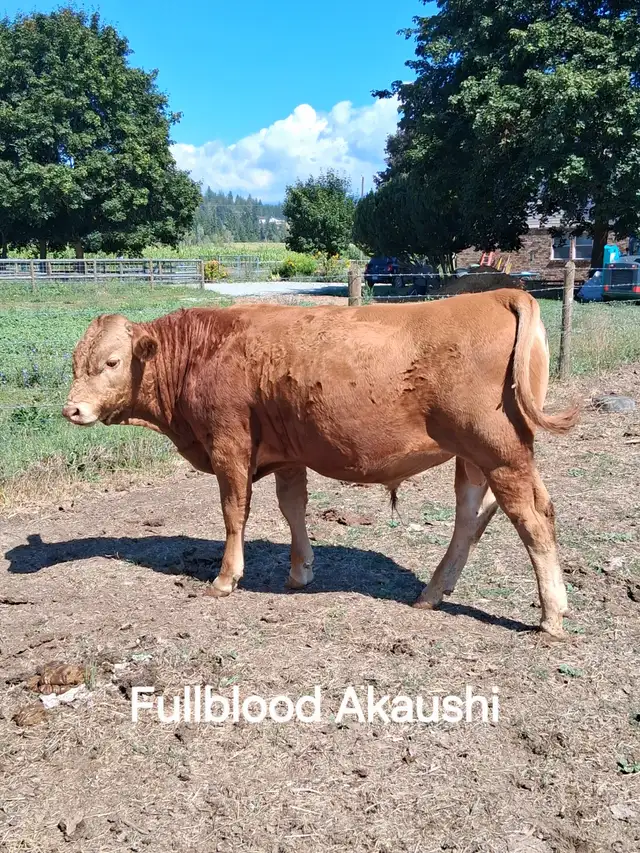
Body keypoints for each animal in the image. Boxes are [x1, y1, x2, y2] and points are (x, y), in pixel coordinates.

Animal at [63, 289, 579, 637]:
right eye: (75, 362)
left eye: (112, 361)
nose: (72, 409)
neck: (203, 350)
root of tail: (499, 294)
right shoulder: (288, 453)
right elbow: (293, 507)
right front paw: (300, 572)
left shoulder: (229, 444)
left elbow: (234, 513)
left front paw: (225, 579)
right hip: (476, 458)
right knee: (473, 516)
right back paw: (432, 593)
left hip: (499, 452)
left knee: (531, 519)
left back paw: (551, 615)